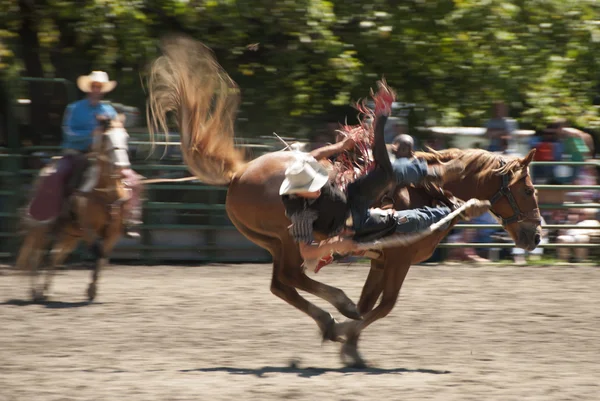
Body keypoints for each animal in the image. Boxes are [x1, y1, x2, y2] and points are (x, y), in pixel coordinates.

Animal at [146, 36, 544, 368]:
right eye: (528, 191)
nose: (536, 236)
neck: (428, 192)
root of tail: (237, 175)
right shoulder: (398, 258)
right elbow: (385, 304)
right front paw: (348, 336)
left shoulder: (382, 260)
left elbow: (372, 303)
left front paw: (351, 346)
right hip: (288, 238)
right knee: (291, 277)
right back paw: (336, 309)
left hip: (274, 242)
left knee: (281, 283)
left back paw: (331, 318)